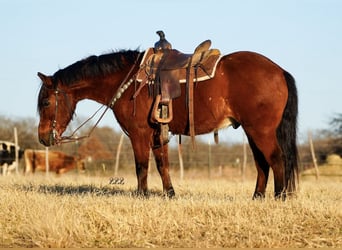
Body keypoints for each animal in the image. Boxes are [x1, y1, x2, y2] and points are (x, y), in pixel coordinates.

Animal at [37, 48, 298, 199]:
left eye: (47, 101)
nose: (43, 137)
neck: (129, 81)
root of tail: (279, 71)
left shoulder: (139, 134)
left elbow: (142, 166)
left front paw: (141, 196)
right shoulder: (157, 135)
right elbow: (163, 165)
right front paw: (169, 194)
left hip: (261, 131)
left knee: (276, 159)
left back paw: (280, 197)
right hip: (252, 132)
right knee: (262, 163)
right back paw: (257, 197)